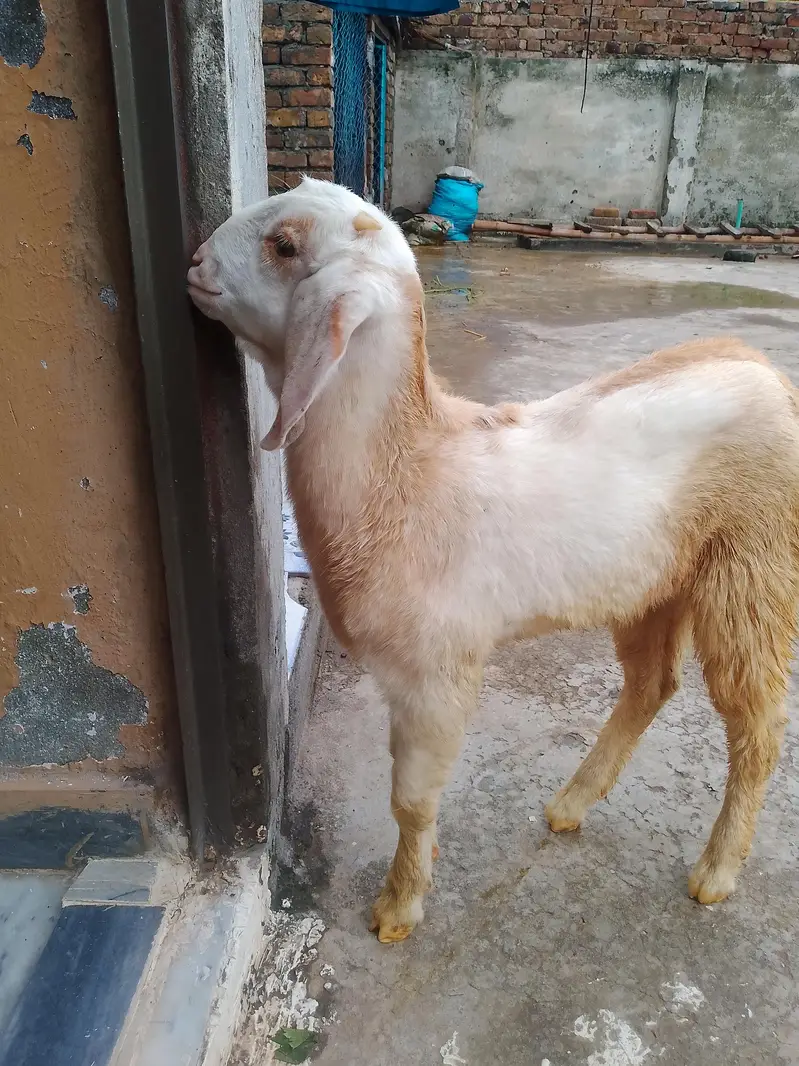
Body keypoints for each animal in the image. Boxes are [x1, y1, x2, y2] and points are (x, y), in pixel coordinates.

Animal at [189, 178, 799, 944]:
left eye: (284, 245)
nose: (195, 264)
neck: (408, 471)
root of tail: (766, 372)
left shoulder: (436, 675)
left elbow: (410, 801)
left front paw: (399, 905)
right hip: (656, 583)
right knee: (651, 685)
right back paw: (572, 802)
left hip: (753, 568)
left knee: (757, 727)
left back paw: (715, 870)